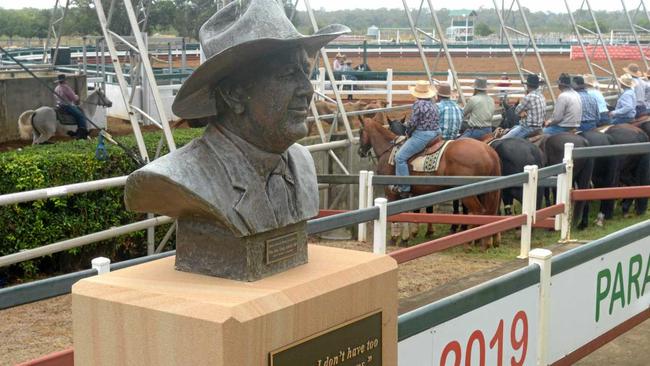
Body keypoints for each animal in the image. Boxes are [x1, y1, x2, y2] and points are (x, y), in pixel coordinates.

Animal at [354, 117, 502, 247]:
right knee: (489, 212)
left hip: (469, 193)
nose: (360, 151)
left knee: (478, 211)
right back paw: (486, 241)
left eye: (360, 132)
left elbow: (398, 216)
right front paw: (405, 239)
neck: (389, 152)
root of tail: (489, 151)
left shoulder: (390, 192)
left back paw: (470, 241)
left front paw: (395, 238)